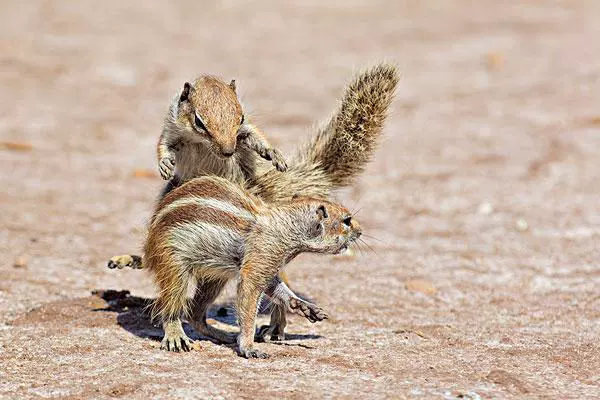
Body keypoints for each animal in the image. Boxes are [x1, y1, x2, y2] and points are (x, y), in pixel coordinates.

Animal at [144, 177, 360, 358]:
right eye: (347, 221)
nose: (360, 231)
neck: (287, 225)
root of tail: (148, 248)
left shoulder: (268, 263)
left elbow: (277, 288)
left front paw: (304, 306)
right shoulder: (262, 258)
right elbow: (249, 303)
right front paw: (248, 347)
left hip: (215, 278)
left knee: (195, 314)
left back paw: (224, 335)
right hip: (172, 263)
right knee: (171, 304)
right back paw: (176, 335)